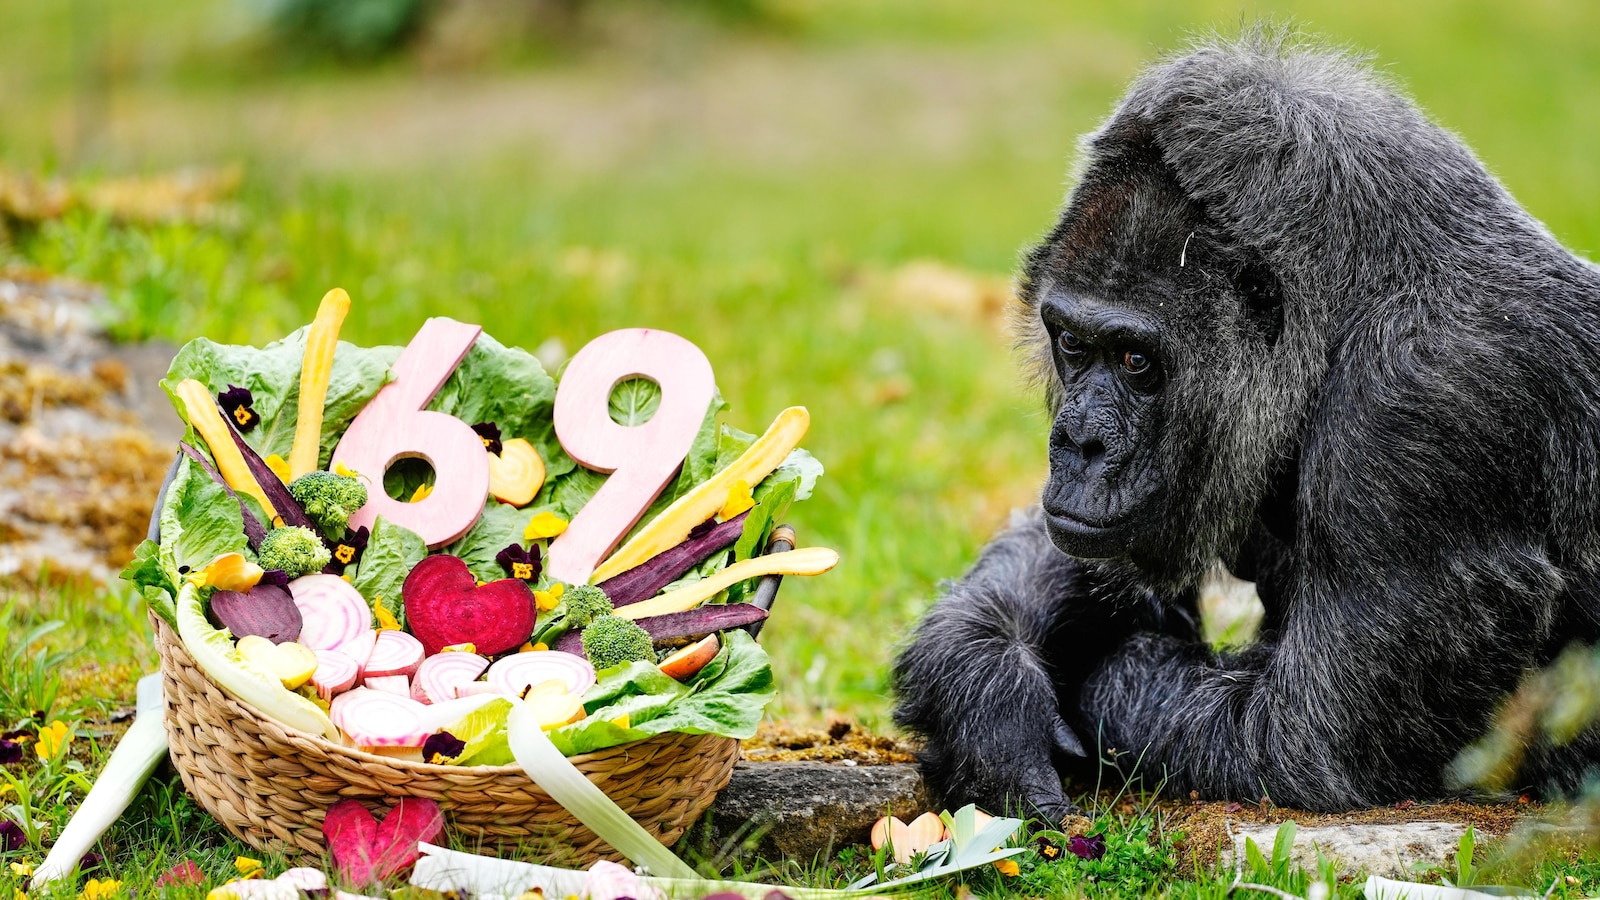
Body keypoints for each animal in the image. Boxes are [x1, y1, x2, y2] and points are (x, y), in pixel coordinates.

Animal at [892, 31, 1600, 822]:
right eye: (1073, 343)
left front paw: (1098, 678)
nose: (1078, 443)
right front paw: (986, 687)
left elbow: (1298, 740)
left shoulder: (1429, 407)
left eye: (1137, 360)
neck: (1351, 314)